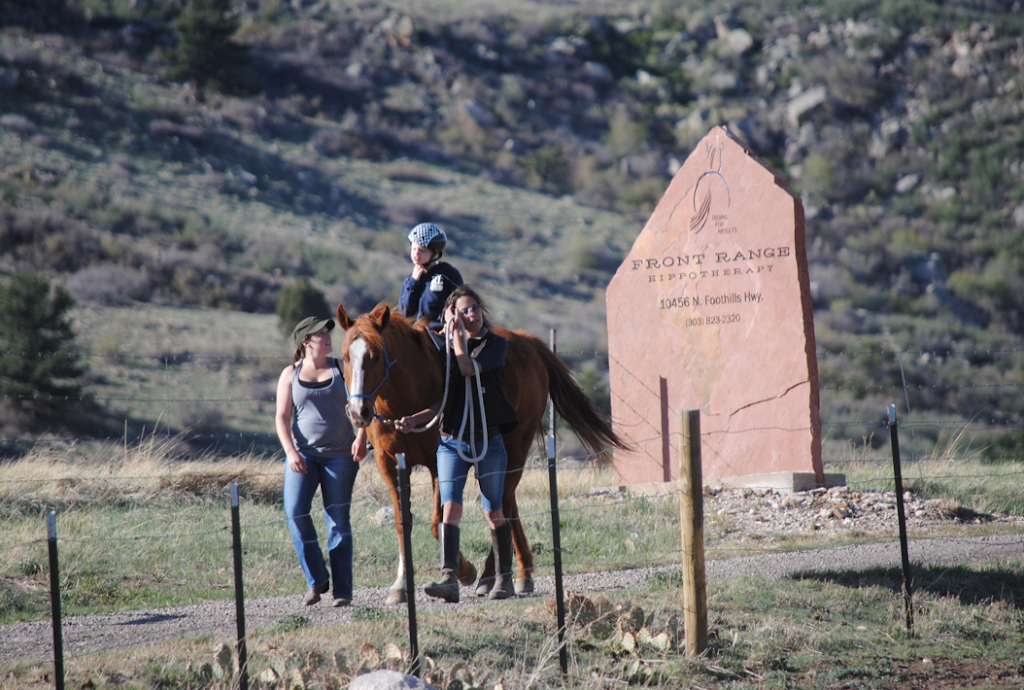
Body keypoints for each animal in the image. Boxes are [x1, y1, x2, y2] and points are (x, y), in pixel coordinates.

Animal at [339, 303, 618, 601]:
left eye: (375, 356)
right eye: (344, 357)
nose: (358, 412)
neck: (406, 396)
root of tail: (528, 342)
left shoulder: (437, 462)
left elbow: (437, 522)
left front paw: (464, 570)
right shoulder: (388, 463)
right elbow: (403, 521)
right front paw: (401, 584)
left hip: (516, 445)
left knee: (503, 504)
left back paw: (492, 576)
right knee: (506, 503)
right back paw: (521, 574)